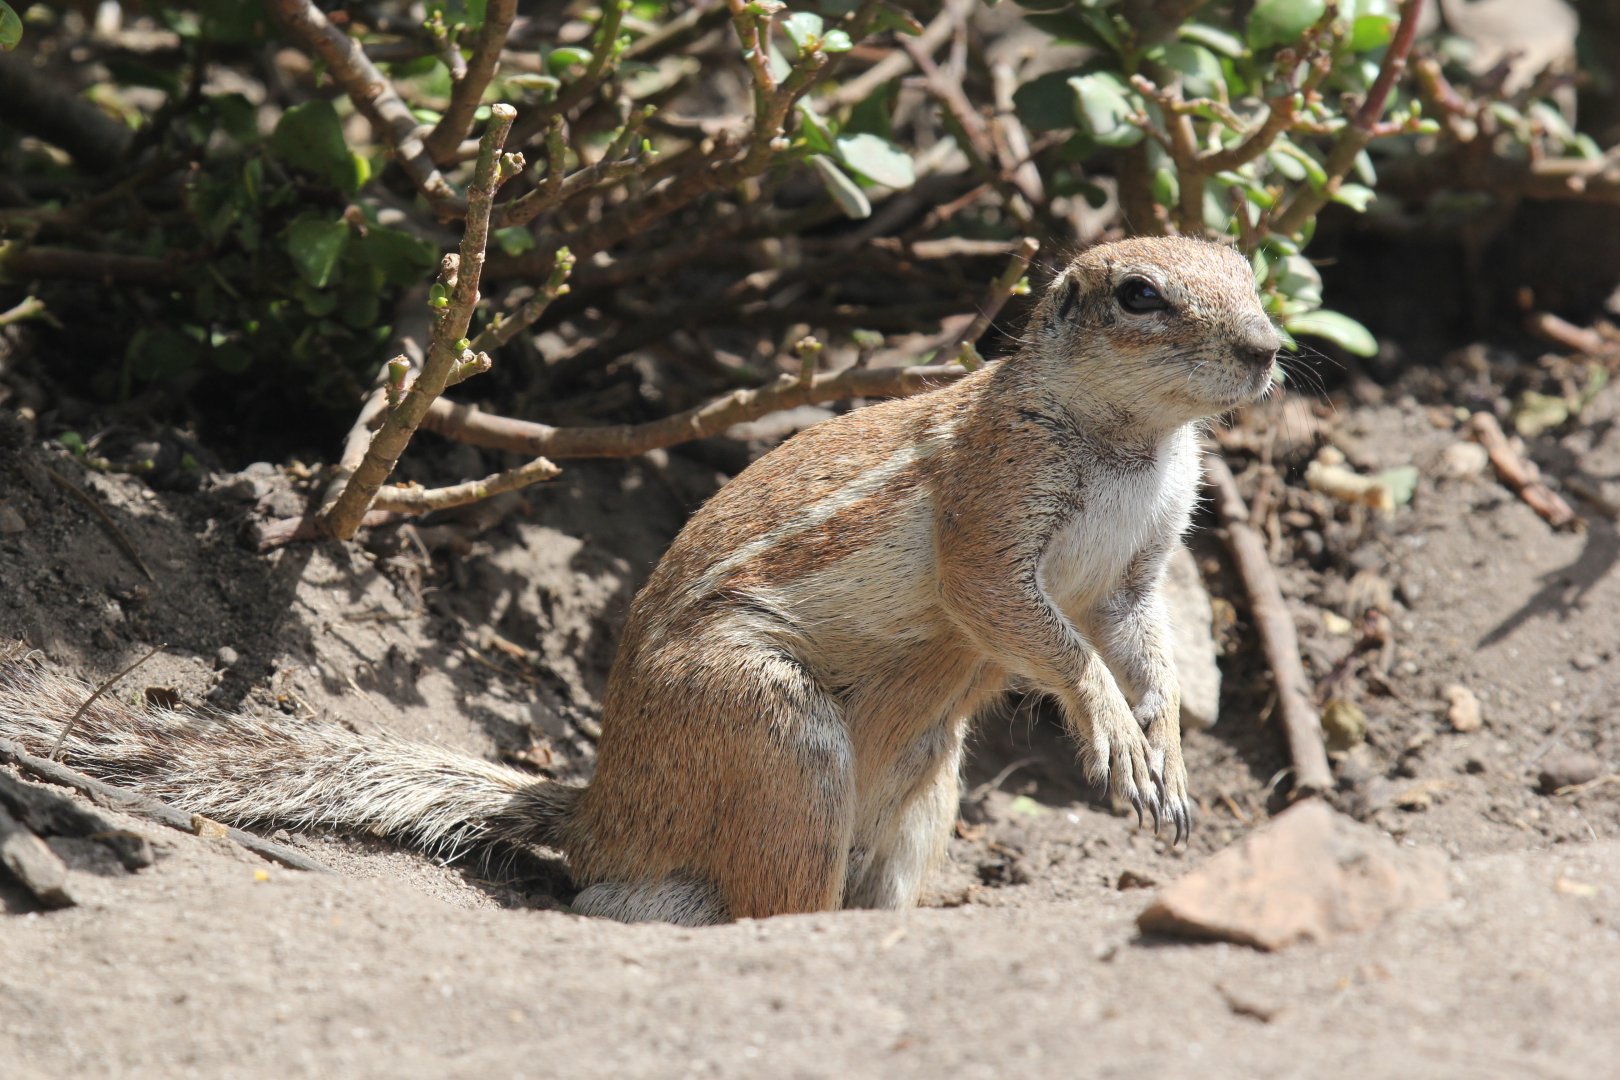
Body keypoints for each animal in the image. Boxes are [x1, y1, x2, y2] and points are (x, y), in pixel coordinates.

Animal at [0, 236, 1279, 926]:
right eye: (1140, 295)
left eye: (1253, 269)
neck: (1131, 442)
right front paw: (1109, 727)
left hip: (929, 790)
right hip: (776, 734)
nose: (1269, 349)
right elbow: (1024, 620)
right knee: (749, 903)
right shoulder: (992, 512)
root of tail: (604, 817)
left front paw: (1164, 749)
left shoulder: (1139, 569)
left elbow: (1141, 643)